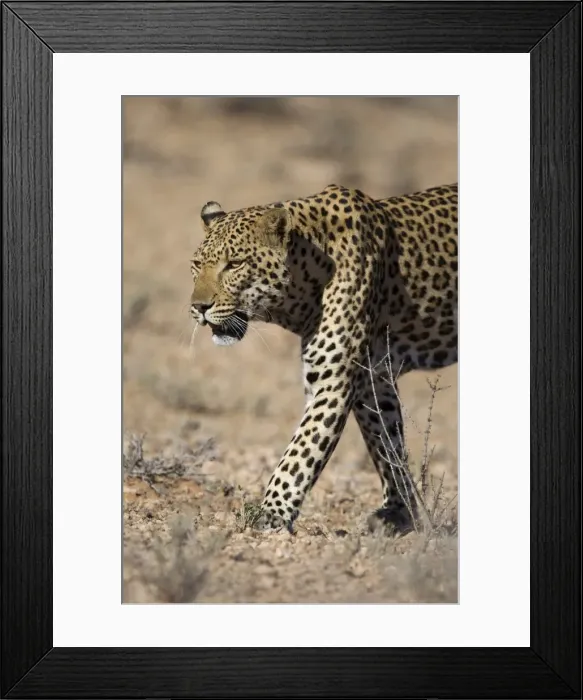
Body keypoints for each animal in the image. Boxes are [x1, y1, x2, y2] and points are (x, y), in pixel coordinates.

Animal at [190, 183, 458, 534]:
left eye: (234, 264)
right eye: (196, 265)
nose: (198, 307)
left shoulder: (334, 381)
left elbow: (301, 452)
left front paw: (270, 512)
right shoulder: (373, 380)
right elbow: (388, 445)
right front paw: (399, 512)